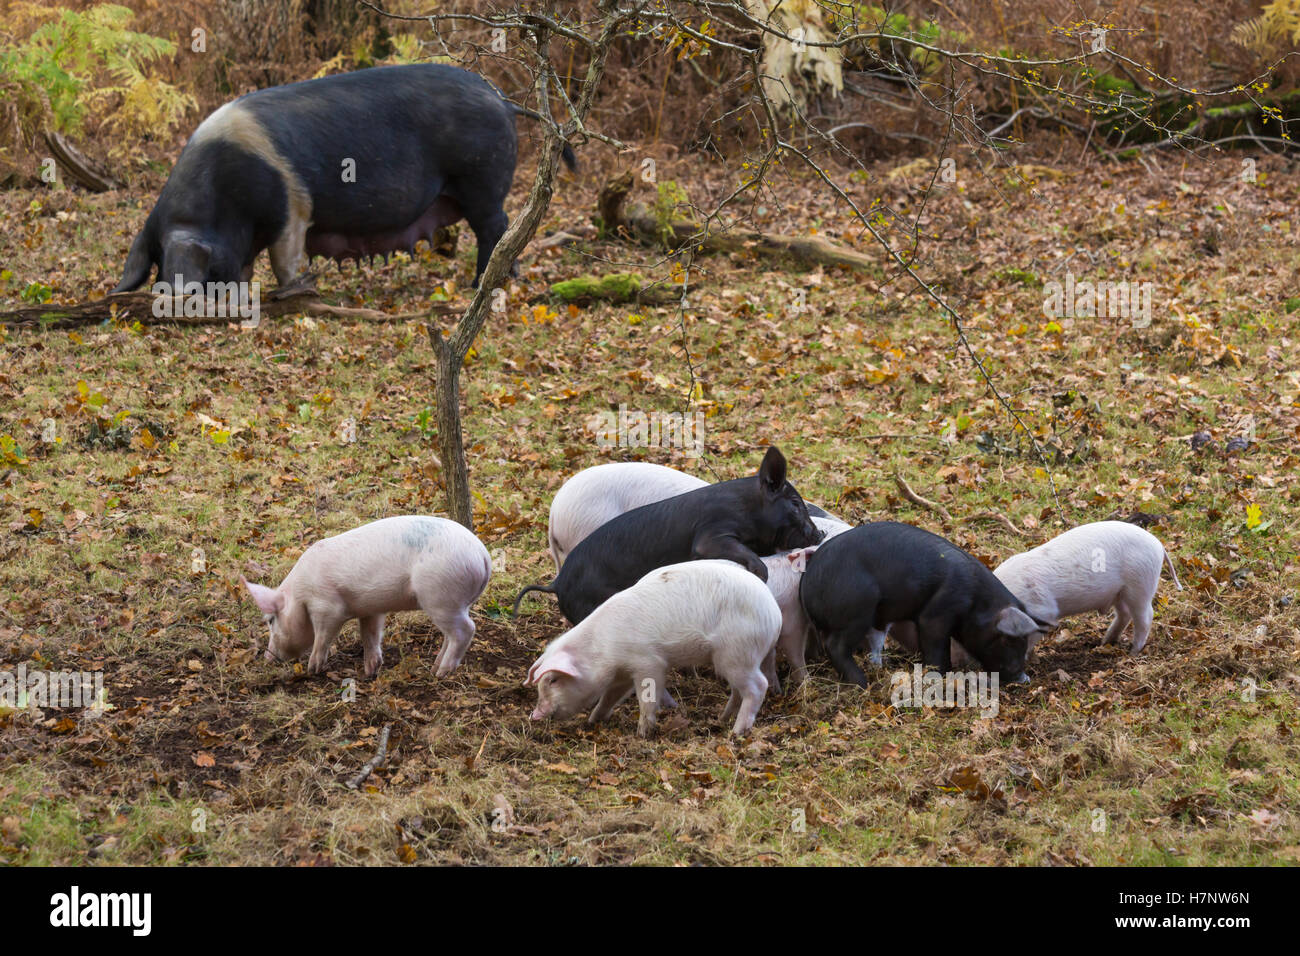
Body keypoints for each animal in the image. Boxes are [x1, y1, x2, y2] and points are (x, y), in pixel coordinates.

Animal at [112, 64, 575, 295]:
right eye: (156, 259)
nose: (167, 293)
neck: (223, 196)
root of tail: (503, 100)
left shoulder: (293, 209)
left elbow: (285, 257)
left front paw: (295, 291)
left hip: (483, 179)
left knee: (497, 228)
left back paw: (481, 285)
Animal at [240, 516, 491, 678]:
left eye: (270, 620)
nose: (267, 658)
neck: (300, 595)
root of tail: (482, 554)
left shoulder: (328, 607)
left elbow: (323, 636)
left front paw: (313, 669)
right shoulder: (371, 609)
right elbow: (370, 635)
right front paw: (371, 671)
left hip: (440, 597)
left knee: (466, 630)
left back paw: (441, 673)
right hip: (454, 602)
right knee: (452, 633)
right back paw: (434, 667)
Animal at [525, 560, 783, 736]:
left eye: (553, 680)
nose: (535, 715)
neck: (602, 647)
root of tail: (775, 613)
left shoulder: (648, 662)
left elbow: (647, 698)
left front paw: (642, 733)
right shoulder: (622, 673)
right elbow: (609, 697)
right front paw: (592, 721)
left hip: (738, 654)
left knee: (758, 686)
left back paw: (736, 732)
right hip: (735, 659)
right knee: (738, 690)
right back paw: (721, 719)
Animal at [798, 522, 1050, 687]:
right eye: (1008, 640)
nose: (1022, 677)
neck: (976, 602)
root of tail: (807, 583)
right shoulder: (935, 615)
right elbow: (937, 648)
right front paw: (941, 676)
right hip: (857, 609)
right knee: (835, 646)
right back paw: (864, 684)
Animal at [991, 520, 1183, 656]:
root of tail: (1158, 545)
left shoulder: (1044, 611)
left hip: (1140, 586)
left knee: (1145, 617)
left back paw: (1132, 653)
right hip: (1120, 592)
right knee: (1125, 614)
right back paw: (1104, 642)